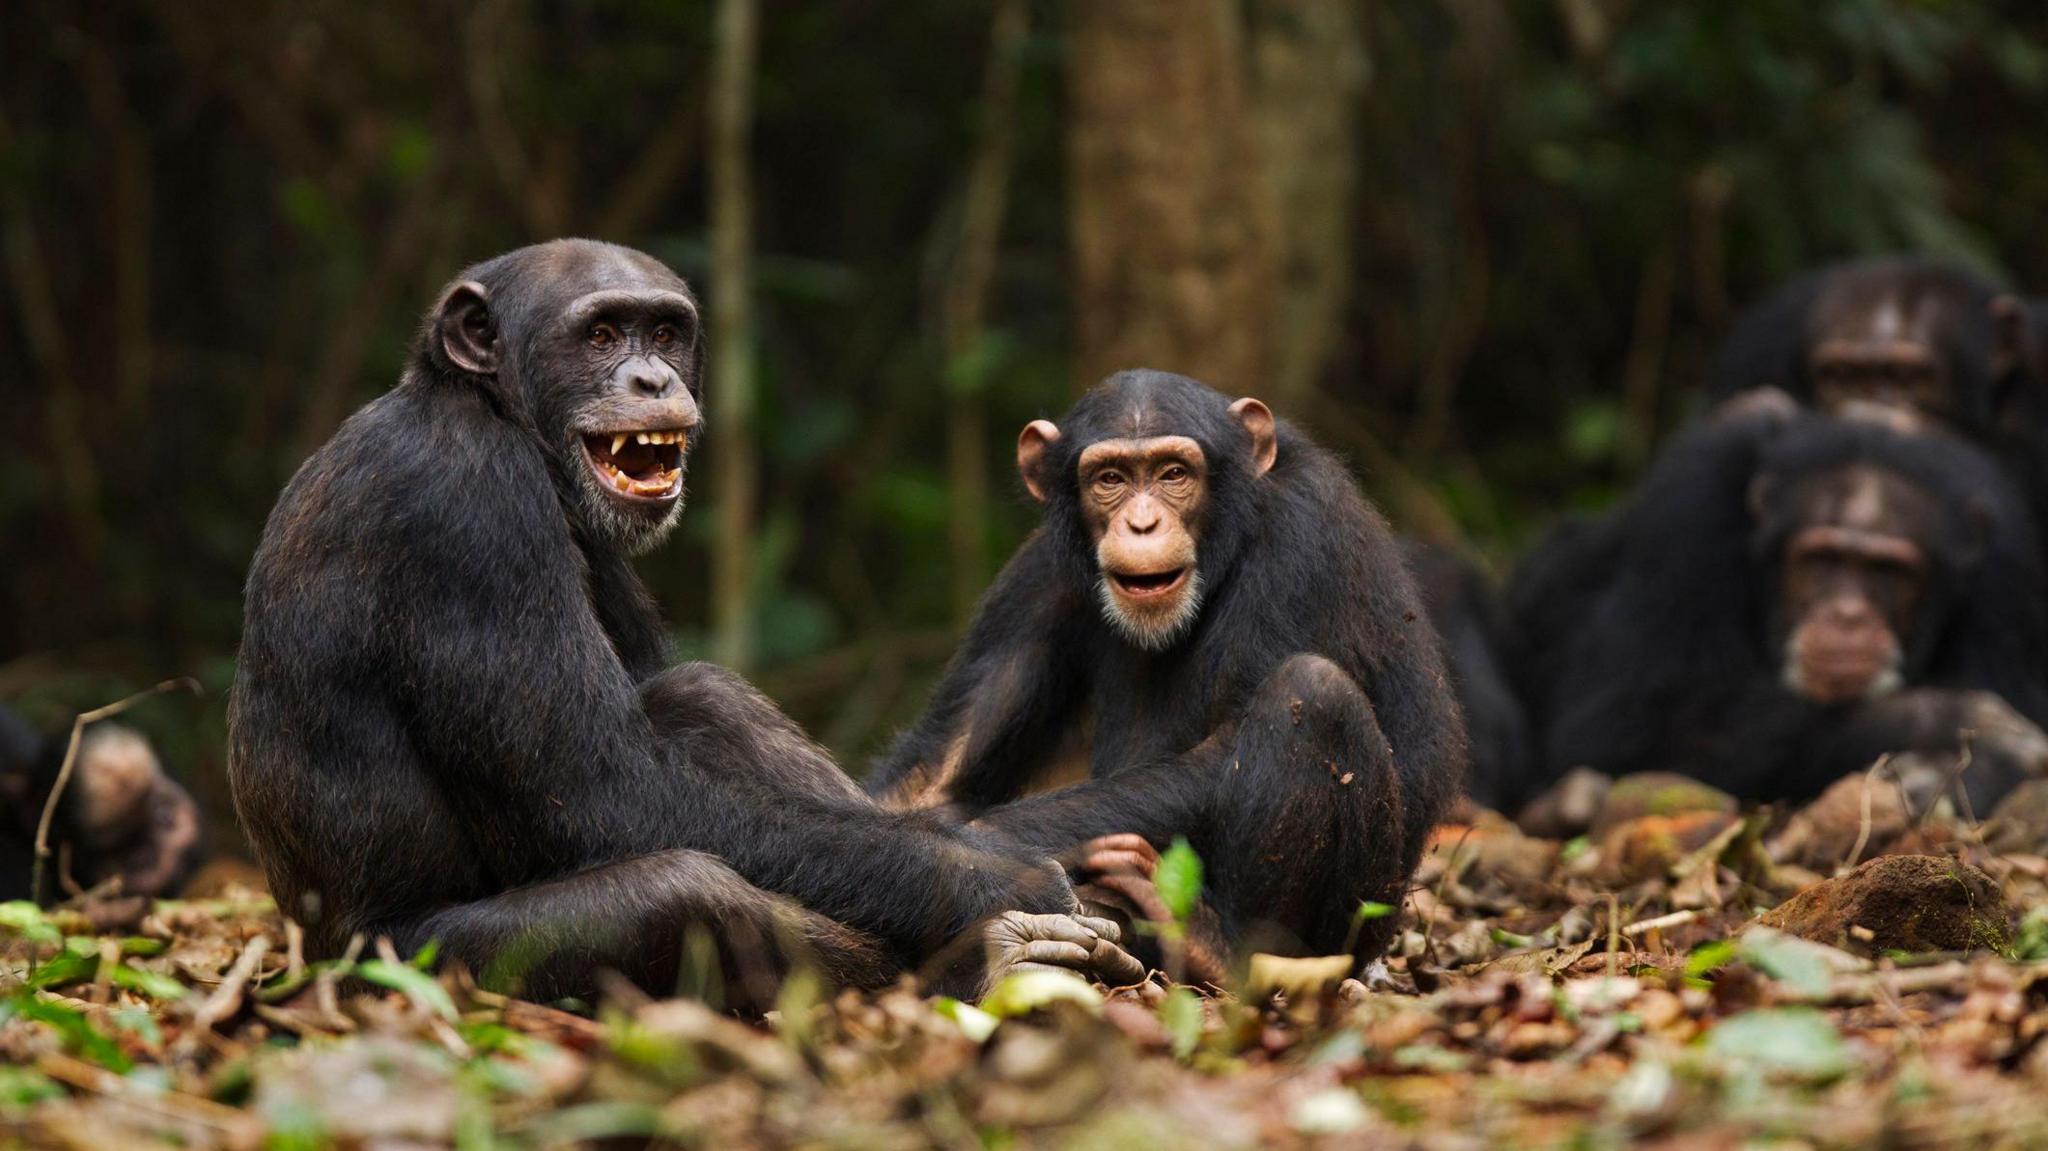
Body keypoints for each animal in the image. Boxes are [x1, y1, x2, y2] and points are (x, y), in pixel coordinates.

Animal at [235, 241, 1155, 1003]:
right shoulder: (467, 511)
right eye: (602, 335)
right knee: (683, 893)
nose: (651, 379)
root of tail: (310, 960)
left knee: (701, 694)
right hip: (424, 963)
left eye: (666, 332)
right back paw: (986, 959)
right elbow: (610, 793)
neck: (484, 409)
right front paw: (998, 879)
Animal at [868, 372, 1474, 962]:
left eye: (1174, 473)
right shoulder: (1036, 575)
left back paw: (1222, 949)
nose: (1142, 523)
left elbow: (1223, 748)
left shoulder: (1305, 538)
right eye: (1110, 478)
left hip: (1364, 921)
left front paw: (984, 843)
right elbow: (941, 768)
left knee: (1312, 691)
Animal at [1507, 407, 2048, 811]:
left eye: (1889, 571)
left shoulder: (2007, 567)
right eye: (1822, 558)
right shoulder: (1689, 508)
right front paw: (1946, 720)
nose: (1847, 615)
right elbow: (1631, 724)